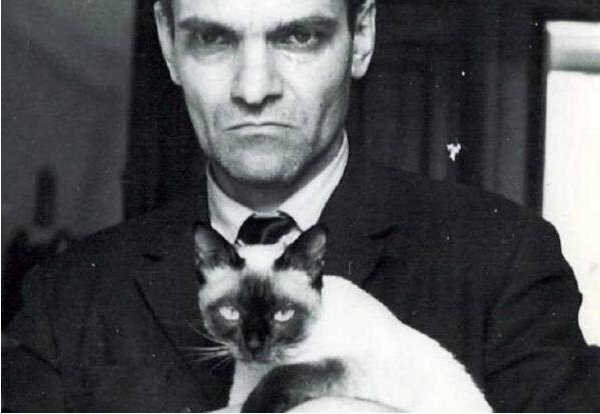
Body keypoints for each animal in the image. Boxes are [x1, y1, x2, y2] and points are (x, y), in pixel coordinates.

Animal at [193, 223, 492, 412]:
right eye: (231, 312)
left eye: (283, 314)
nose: (254, 346)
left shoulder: (363, 370)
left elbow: (293, 372)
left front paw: (255, 407)